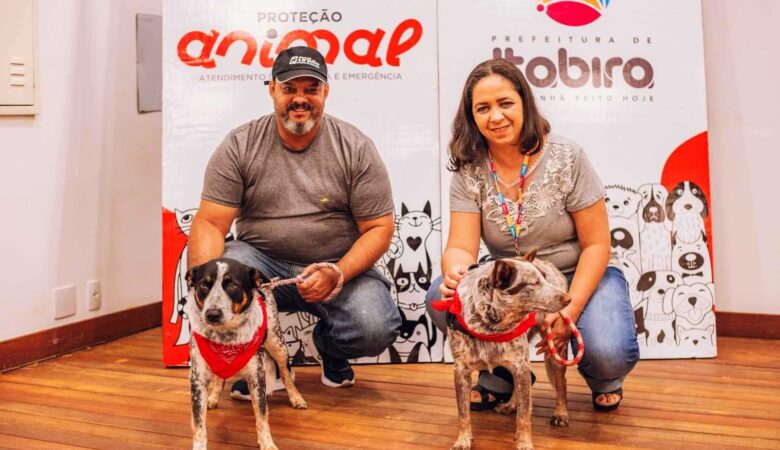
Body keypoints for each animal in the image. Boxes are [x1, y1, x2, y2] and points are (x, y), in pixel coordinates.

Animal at [185, 258, 307, 450]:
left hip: (277, 344)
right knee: (219, 377)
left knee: (285, 373)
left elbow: (262, 415)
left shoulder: (256, 375)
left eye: (232, 285)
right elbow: (199, 425)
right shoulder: (197, 379)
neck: (226, 339)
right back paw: (213, 396)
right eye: (203, 285)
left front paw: (267, 443)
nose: (212, 314)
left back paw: (296, 397)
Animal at [443, 251, 571, 450]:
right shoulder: (461, 370)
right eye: (534, 283)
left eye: (544, 278)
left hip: (553, 349)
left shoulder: (521, 365)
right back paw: (510, 405)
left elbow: (523, 416)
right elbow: (463, 414)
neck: (489, 327)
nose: (569, 298)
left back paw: (561, 413)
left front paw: (524, 442)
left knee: (561, 384)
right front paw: (462, 440)